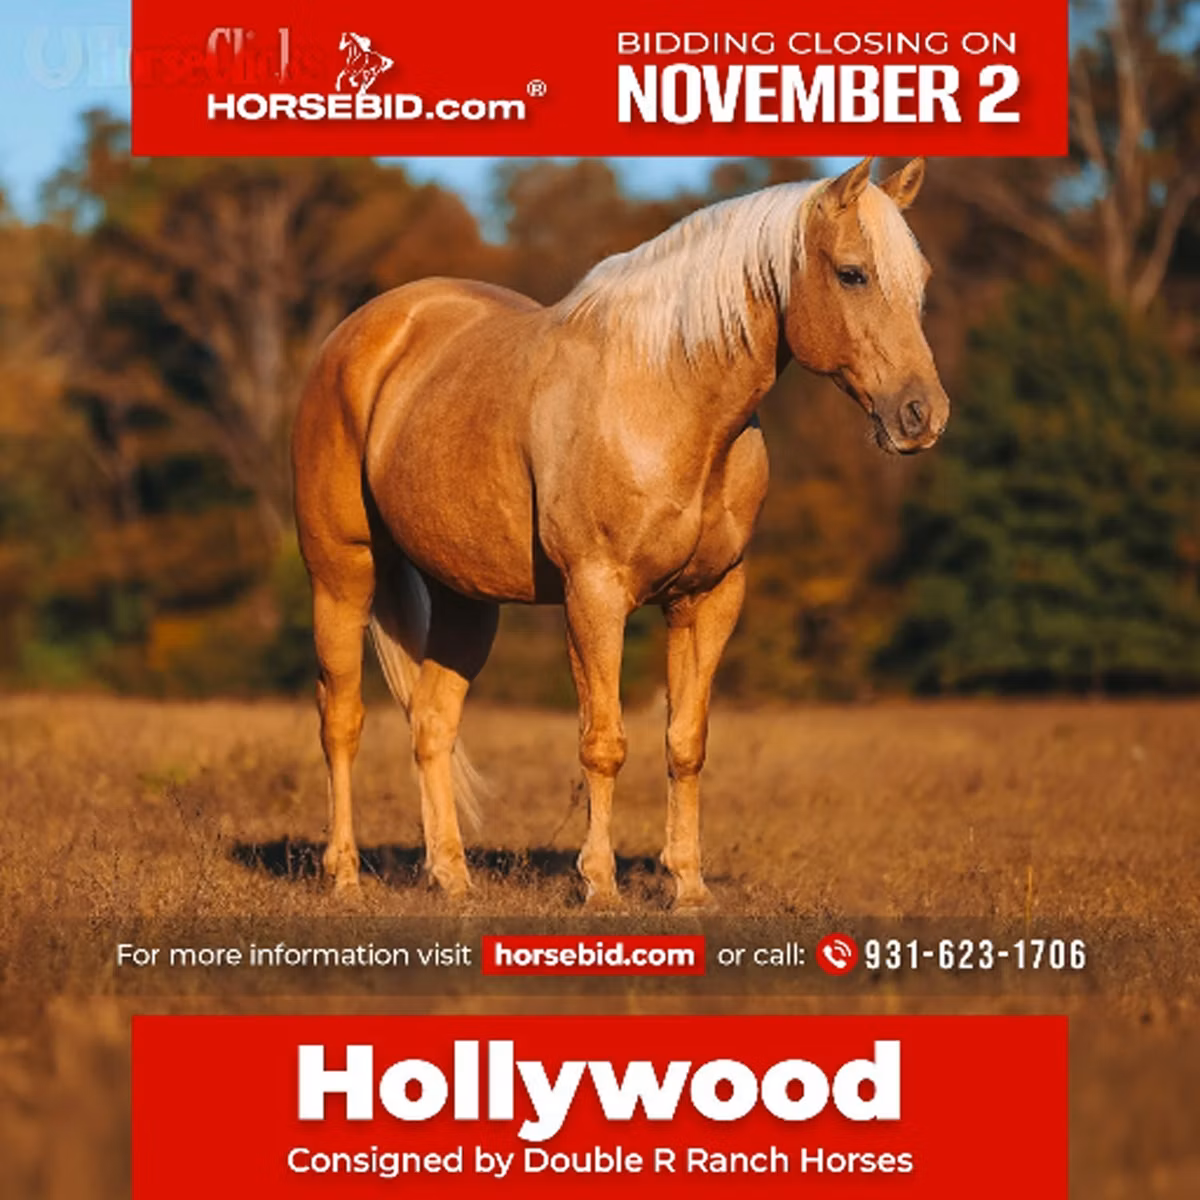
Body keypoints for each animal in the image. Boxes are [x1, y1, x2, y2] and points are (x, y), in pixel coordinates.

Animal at [292, 156, 949, 909]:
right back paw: (344, 875)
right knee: (341, 718)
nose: (922, 415)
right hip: (342, 574)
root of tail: (367, 331)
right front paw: (600, 886)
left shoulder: (708, 599)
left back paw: (452, 878)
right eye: (851, 273)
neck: (668, 396)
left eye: (922, 278)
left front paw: (688, 886)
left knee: (432, 722)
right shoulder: (596, 595)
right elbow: (603, 742)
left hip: (466, 599)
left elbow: (685, 743)